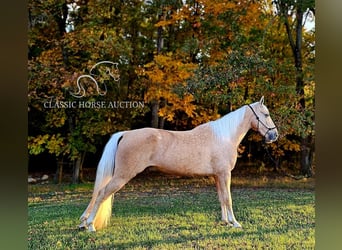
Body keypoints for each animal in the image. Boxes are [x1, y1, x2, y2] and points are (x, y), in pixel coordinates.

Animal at [79, 96, 278, 231]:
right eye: (266, 114)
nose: (274, 135)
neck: (224, 137)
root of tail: (125, 133)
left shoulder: (217, 176)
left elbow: (222, 198)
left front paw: (225, 221)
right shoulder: (224, 174)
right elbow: (228, 198)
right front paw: (235, 223)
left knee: (98, 193)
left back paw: (83, 223)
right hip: (121, 176)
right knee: (102, 193)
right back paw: (90, 225)